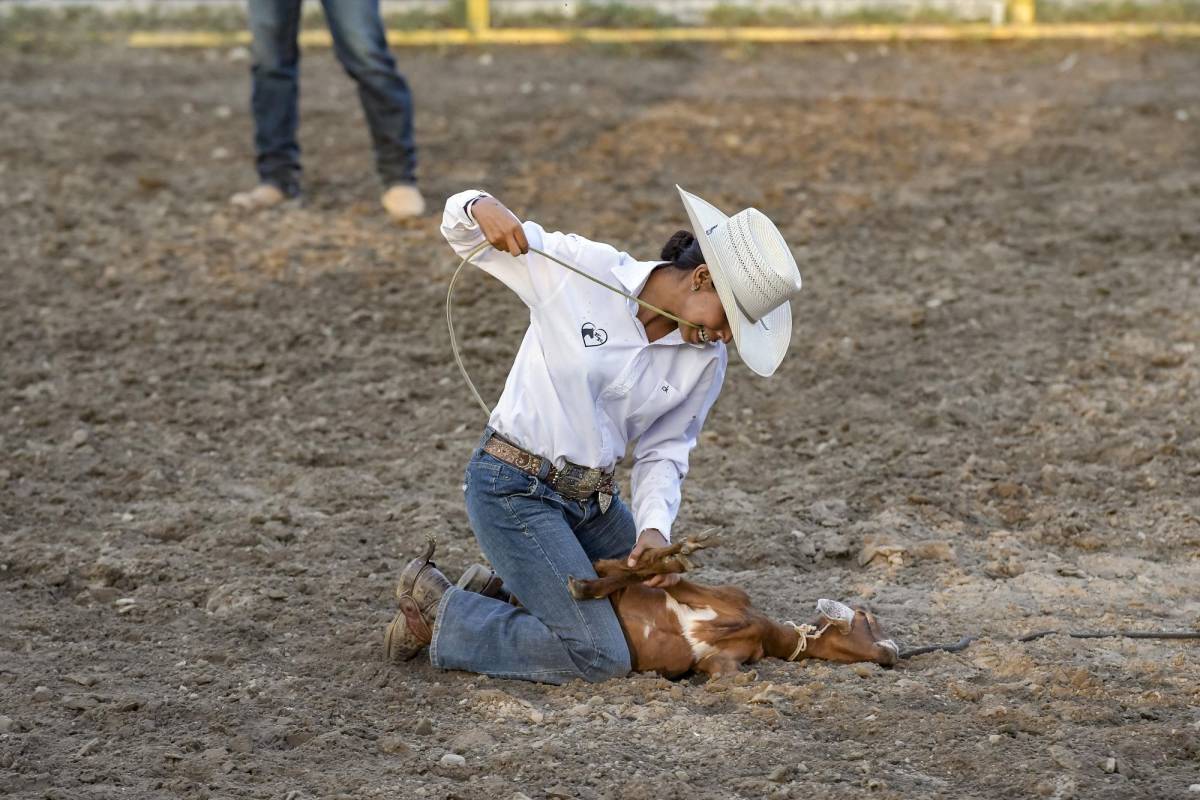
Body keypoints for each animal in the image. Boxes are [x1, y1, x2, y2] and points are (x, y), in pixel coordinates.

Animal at [566, 534, 897, 681]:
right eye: (867, 617)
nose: (894, 652)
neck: (764, 630)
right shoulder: (723, 595)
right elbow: (644, 568)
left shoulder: (719, 661)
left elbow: (732, 676)